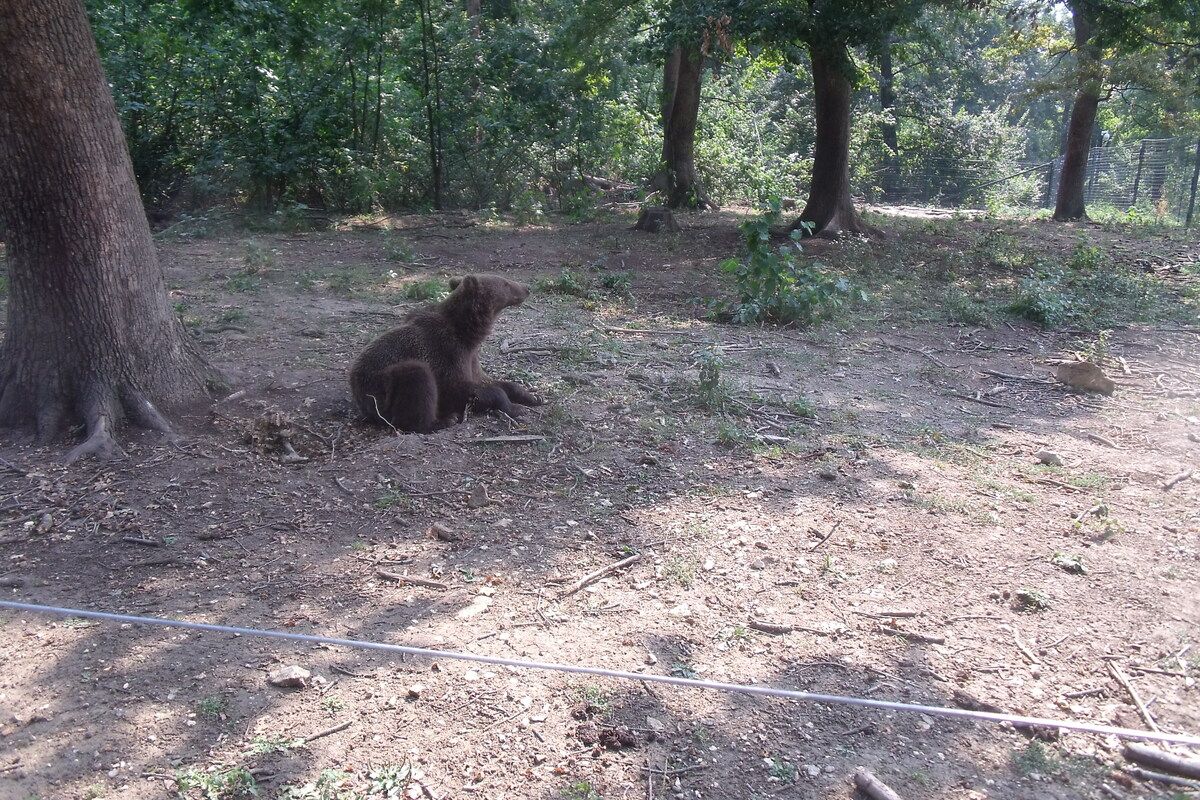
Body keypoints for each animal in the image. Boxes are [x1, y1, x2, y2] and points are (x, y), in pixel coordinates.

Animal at [349, 273, 543, 432]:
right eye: (505, 283)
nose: (527, 288)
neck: (467, 332)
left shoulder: (470, 356)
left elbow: (487, 380)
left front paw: (532, 396)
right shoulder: (445, 350)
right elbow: (456, 388)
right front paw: (515, 407)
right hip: (381, 388)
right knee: (416, 376)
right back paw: (442, 421)